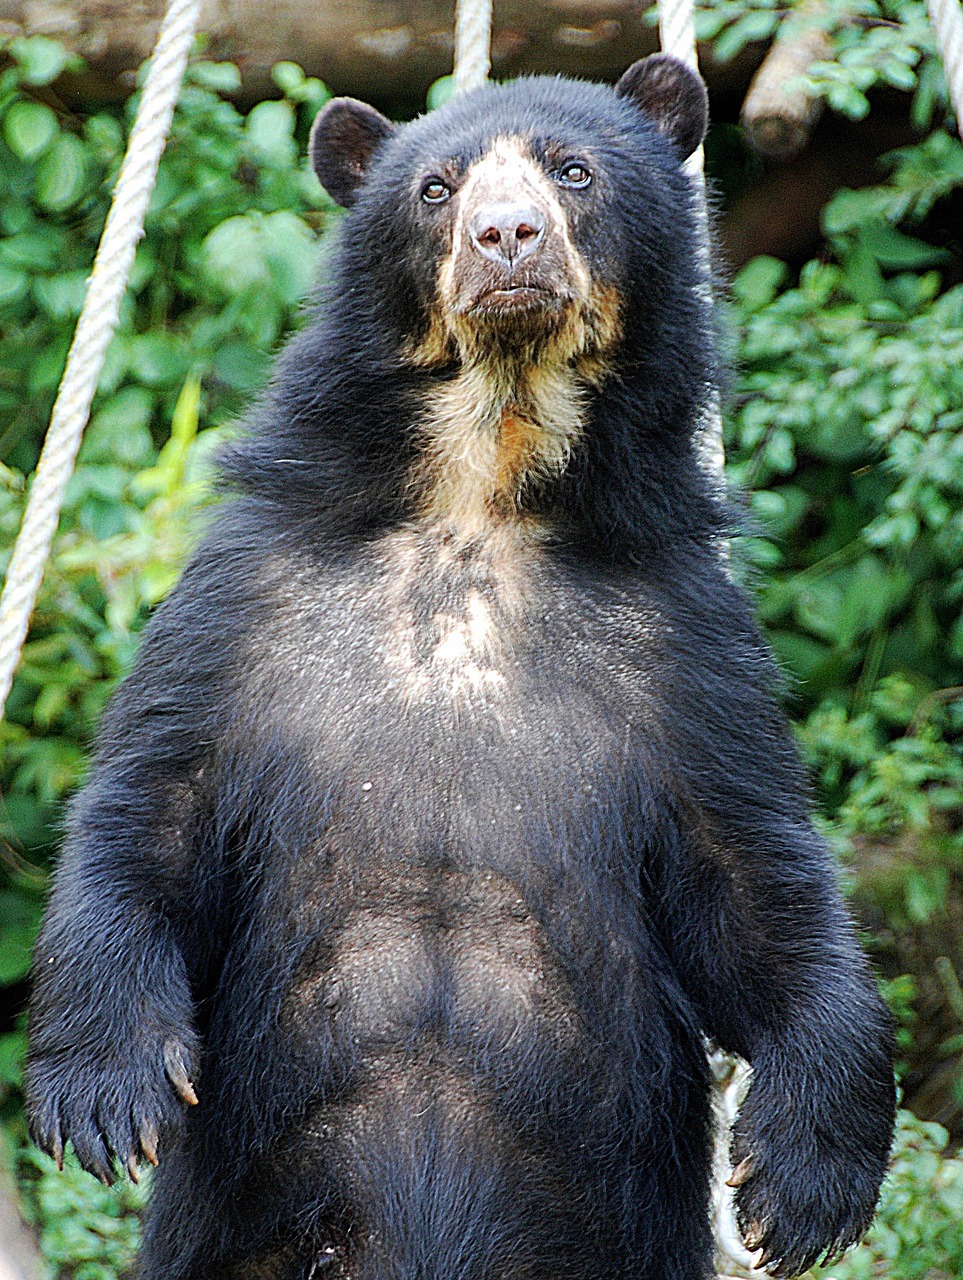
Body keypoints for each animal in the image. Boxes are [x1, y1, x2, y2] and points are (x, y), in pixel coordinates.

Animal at [26, 54, 895, 1280]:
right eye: (436, 188)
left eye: (572, 171)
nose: (506, 237)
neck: (484, 478)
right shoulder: (247, 590)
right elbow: (154, 804)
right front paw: (105, 1097)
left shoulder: (685, 634)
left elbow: (754, 876)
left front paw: (805, 1181)